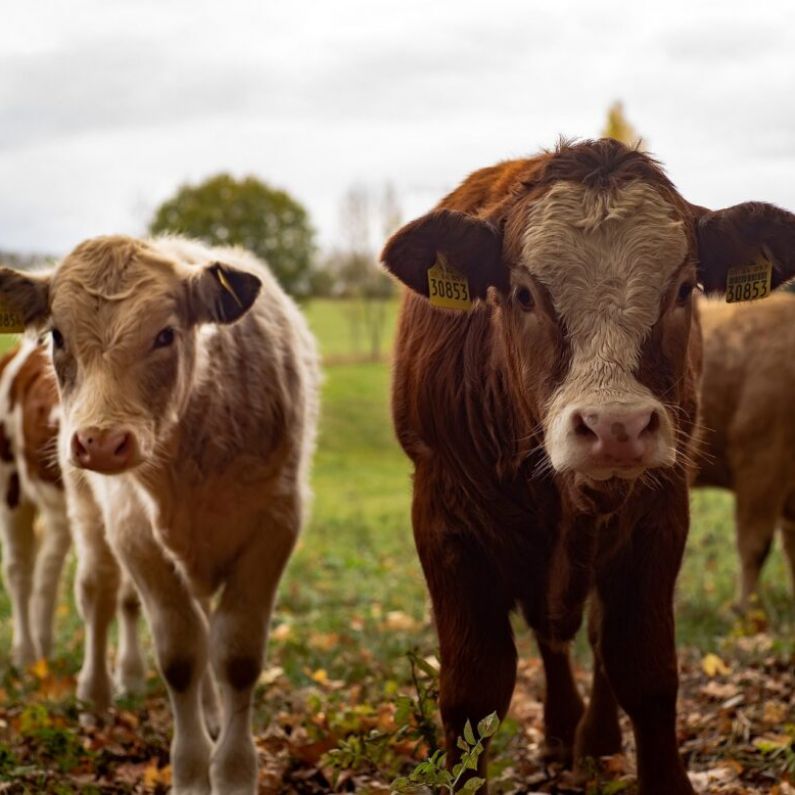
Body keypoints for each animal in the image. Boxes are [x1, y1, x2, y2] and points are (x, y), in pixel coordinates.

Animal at [0, 236, 318, 795]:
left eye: (166, 334)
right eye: (58, 335)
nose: (100, 441)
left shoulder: (275, 526)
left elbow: (234, 655)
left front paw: (233, 771)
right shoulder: (135, 534)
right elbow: (180, 654)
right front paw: (192, 773)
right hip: (40, 495)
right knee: (78, 587)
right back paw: (80, 686)